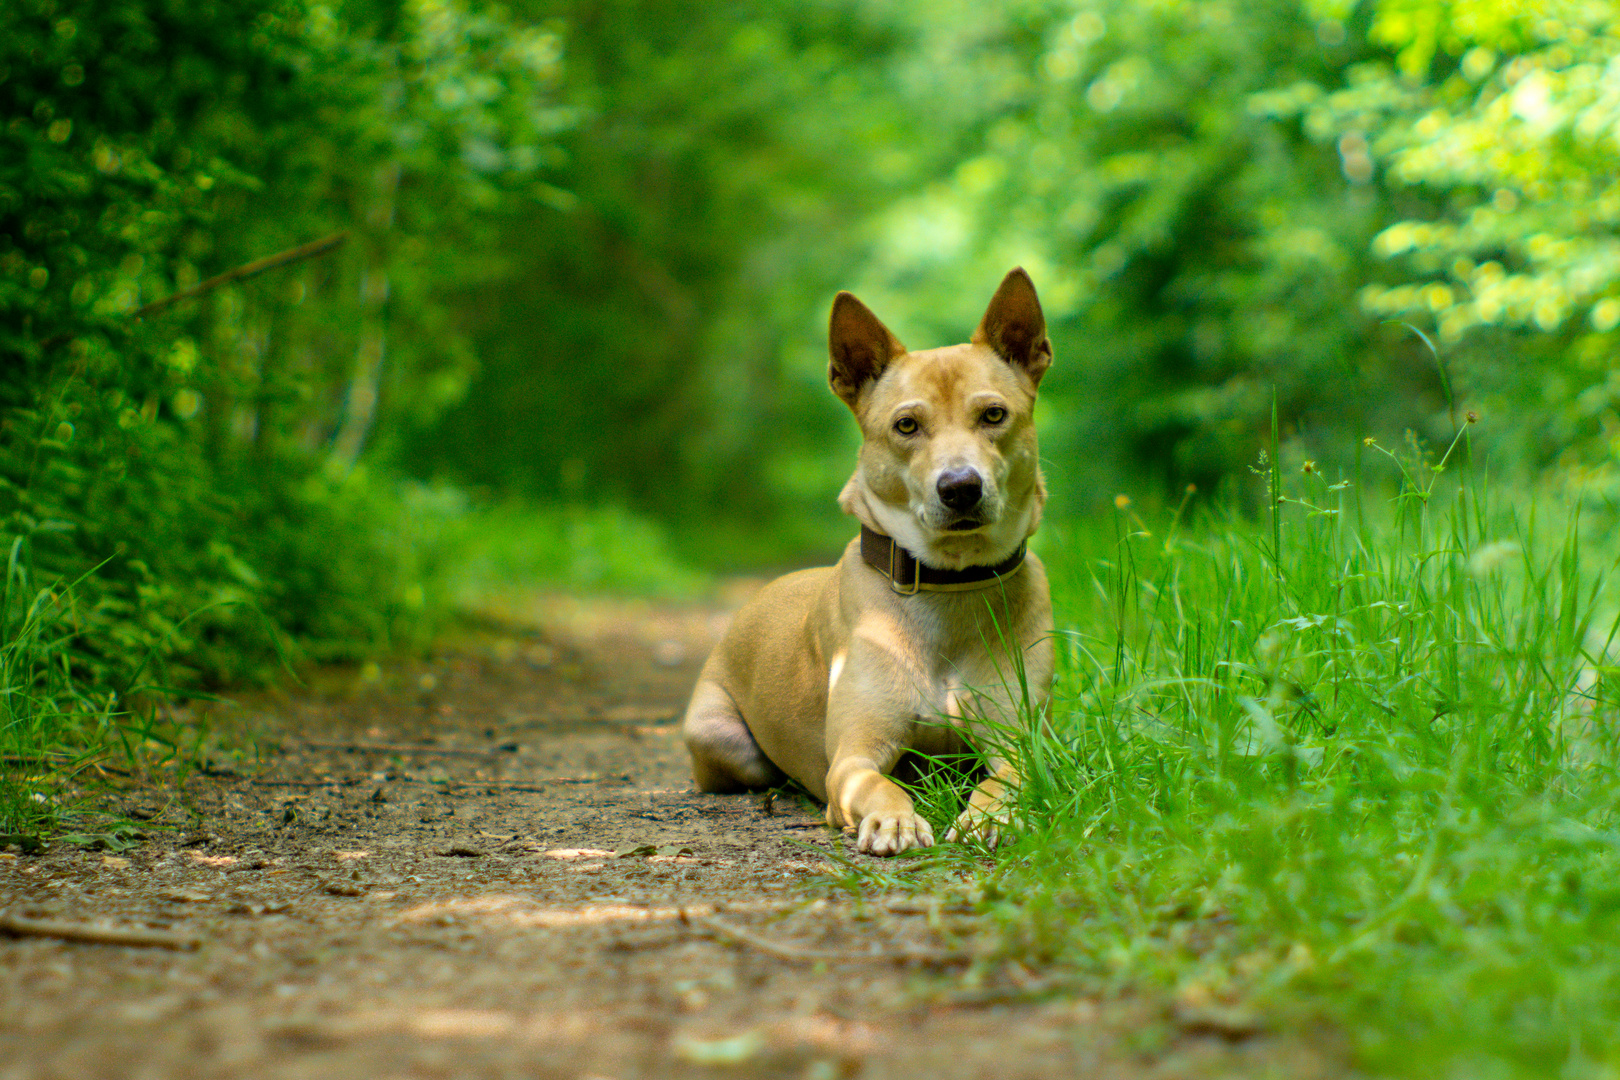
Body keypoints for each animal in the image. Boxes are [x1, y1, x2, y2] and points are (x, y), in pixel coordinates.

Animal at [677, 268, 1056, 854]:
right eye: (906, 426)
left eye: (994, 415)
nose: (960, 487)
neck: (949, 587)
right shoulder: (854, 755)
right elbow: (874, 783)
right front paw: (893, 819)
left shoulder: (1021, 737)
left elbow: (1009, 775)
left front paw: (991, 815)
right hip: (719, 738)